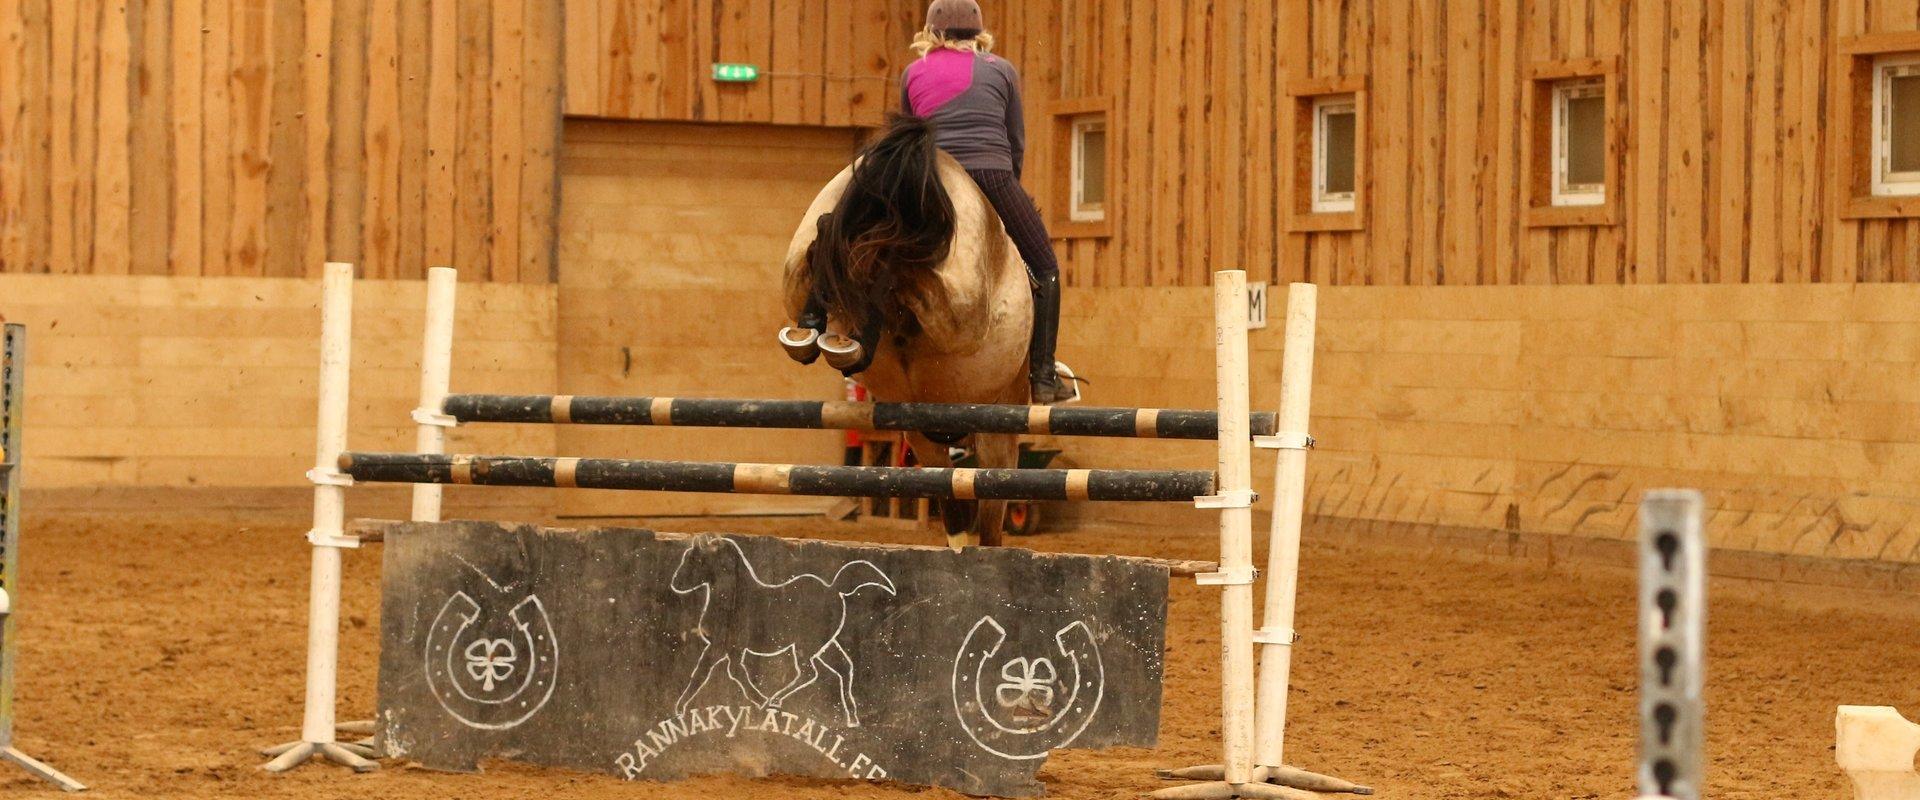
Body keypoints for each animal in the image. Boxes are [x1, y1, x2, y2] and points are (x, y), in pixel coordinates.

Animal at [668, 533, 890, 725]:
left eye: (696, 559)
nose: (676, 583)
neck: (733, 597)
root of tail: (834, 589)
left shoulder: (728, 647)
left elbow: (734, 672)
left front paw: (762, 701)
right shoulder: (717, 647)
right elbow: (700, 673)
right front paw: (679, 708)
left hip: (806, 645)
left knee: (809, 672)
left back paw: (776, 699)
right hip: (825, 645)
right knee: (844, 667)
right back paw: (852, 718)